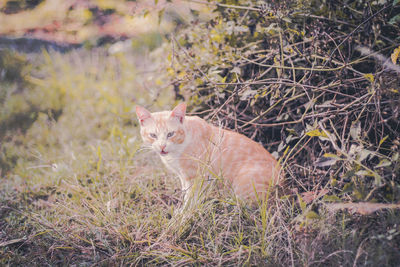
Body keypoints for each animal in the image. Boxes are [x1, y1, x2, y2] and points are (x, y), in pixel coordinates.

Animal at [136, 103, 282, 202]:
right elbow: (185, 194)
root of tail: (282, 175)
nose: (162, 146)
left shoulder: (195, 177)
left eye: (170, 134)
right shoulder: (183, 177)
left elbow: (190, 200)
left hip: (243, 188)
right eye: (153, 135)